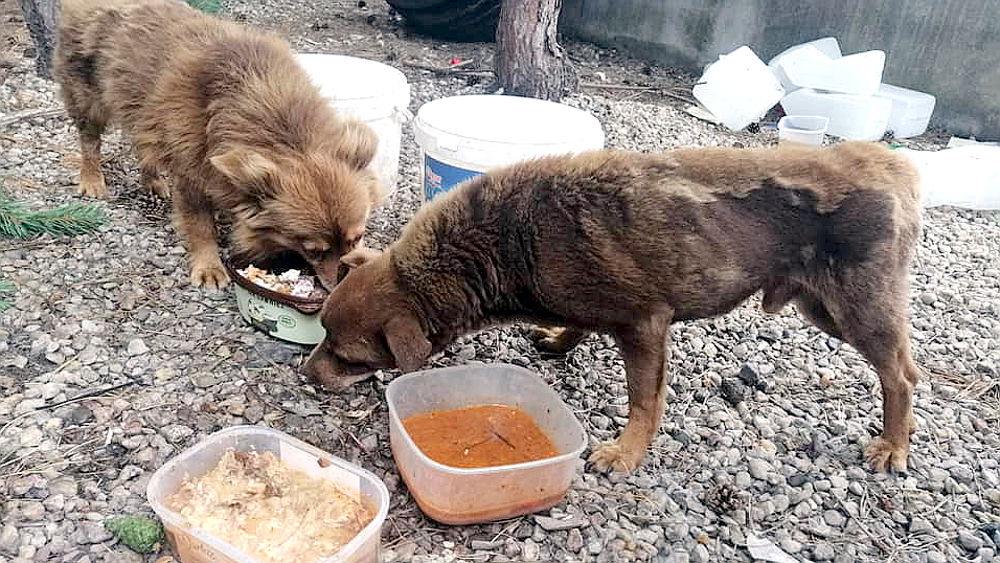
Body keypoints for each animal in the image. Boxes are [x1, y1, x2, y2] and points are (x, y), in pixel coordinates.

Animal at [55, 0, 382, 288]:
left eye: (356, 239)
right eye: (314, 251)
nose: (344, 279)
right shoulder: (191, 176)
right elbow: (201, 227)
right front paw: (209, 267)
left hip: (140, 112)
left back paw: (152, 181)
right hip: (88, 100)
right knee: (90, 142)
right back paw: (92, 179)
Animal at [304, 140, 920, 472]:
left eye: (349, 354)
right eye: (322, 331)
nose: (306, 374)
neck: (504, 242)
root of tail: (890, 165)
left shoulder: (645, 326)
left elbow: (645, 401)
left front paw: (626, 453)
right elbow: (577, 325)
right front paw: (559, 340)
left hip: (854, 309)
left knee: (901, 377)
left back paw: (894, 444)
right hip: (824, 310)